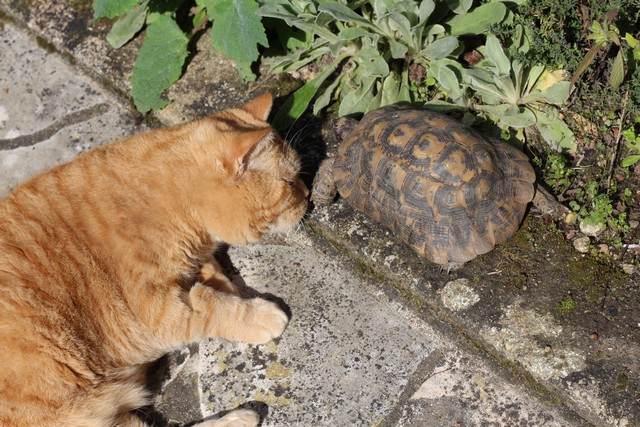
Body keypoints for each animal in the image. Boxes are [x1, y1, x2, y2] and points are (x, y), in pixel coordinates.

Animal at [0, 94, 310, 427]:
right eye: (290, 182)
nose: (309, 195)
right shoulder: (154, 315)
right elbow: (215, 308)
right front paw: (257, 313)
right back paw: (240, 418)